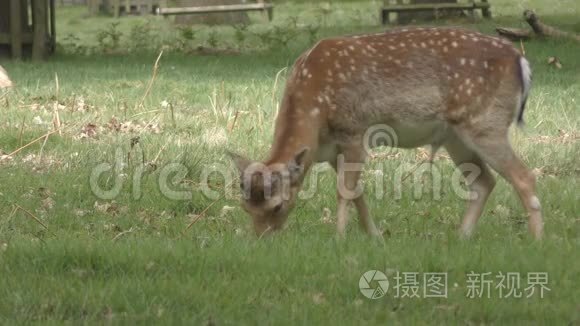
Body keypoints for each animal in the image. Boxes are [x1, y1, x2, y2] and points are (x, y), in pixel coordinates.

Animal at [228, 26, 544, 239]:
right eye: (245, 207)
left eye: (278, 206)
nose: (261, 239)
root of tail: (521, 61)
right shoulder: (332, 151)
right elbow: (358, 193)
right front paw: (375, 237)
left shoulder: (354, 131)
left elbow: (345, 190)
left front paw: (339, 238)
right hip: (457, 137)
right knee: (484, 182)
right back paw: (461, 237)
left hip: (486, 123)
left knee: (524, 176)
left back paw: (536, 241)